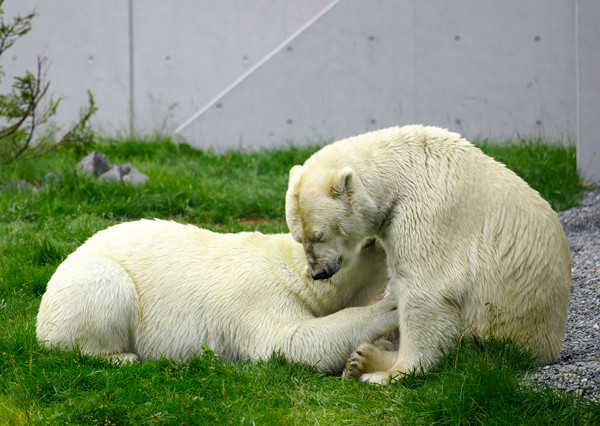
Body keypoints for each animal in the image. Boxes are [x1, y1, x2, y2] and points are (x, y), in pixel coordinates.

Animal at [35, 220, 396, 372]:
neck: (292, 270)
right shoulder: (262, 296)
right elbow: (292, 342)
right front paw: (388, 309)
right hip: (90, 283)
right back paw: (121, 357)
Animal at [286, 125, 572, 384]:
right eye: (298, 237)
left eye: (319, 235)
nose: (318, 272)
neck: (399, 172)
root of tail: (548, 347)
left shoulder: (428, 213)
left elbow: (426, 292)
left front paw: (394, 373)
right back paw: (361, 359)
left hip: (497, 333)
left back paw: (368, 362)